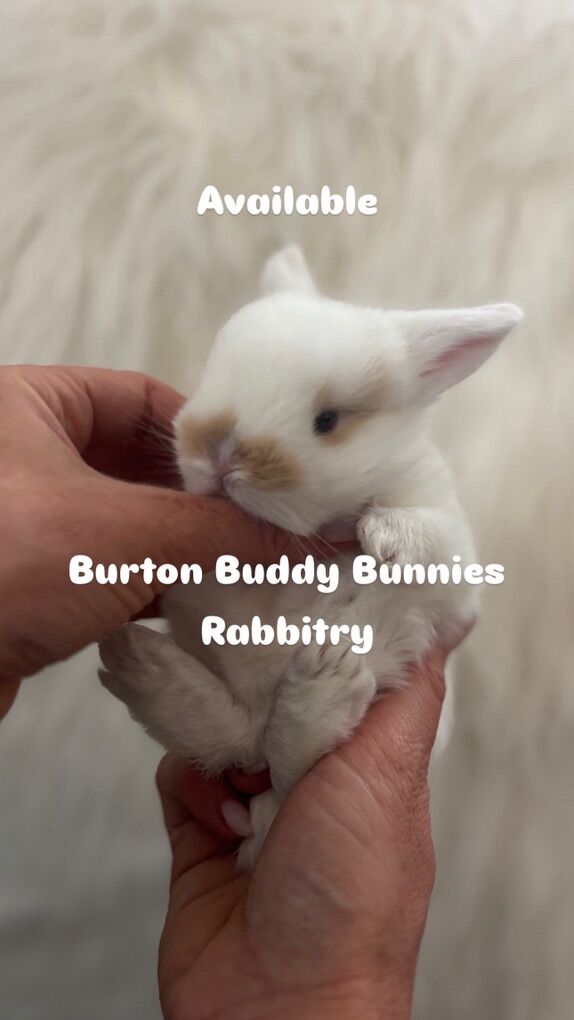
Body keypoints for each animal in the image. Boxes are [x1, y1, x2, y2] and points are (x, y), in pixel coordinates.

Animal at [99, 245, 522, 870]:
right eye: (213, 376)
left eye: (328, 421)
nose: (220, 453)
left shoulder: (455, 562)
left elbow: (431, 537)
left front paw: (383, 536)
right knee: (245, 742)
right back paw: (141, 661)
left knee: (285, 763)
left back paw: (323, 678)